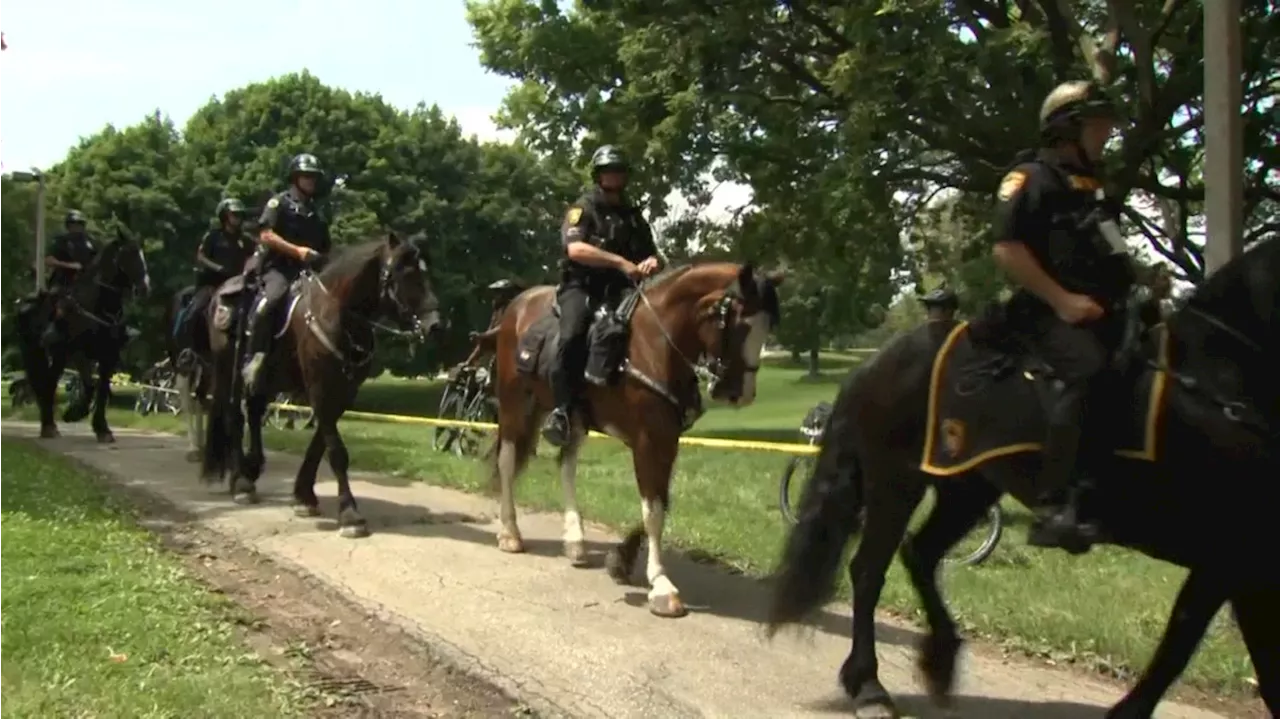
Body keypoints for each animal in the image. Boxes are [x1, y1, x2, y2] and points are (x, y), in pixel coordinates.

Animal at [15, 227, 149, 442]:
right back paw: (49, 426)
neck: (98, 306)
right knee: (48, 384)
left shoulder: (108, 356)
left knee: (49, 383)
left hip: (56, 355)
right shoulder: (78, 353)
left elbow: (102, 390)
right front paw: (74, 413)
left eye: (142, 255)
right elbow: (89, 386)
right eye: (129, 254)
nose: (145, 287)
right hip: (46, 352)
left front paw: (102, 429)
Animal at [198, 232, 440, 534]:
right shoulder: (320, 389)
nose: (435, 325)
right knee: (233, 416)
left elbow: (319, 445)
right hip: (225, 371)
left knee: (253, 413)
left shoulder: (343, 392)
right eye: (405, 273)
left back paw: (252, 467)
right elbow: (336, 451)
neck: (337, 315)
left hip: (266, 380)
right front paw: (349, 513)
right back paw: (241, 482)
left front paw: (304, 496)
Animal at [486, 263, 778, 616]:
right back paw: (510, 533)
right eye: (736, 321)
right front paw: (662, 588)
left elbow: (661, 502)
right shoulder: (647, 439)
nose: (740, 393)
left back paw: (575, 542)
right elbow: (653, 510)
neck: (654, 346)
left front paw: (621, 561)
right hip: (514, 402)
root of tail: (518, 304)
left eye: (767, 326)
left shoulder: (666, 441)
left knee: (566, 467)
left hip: (574, 419)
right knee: (507, 461)